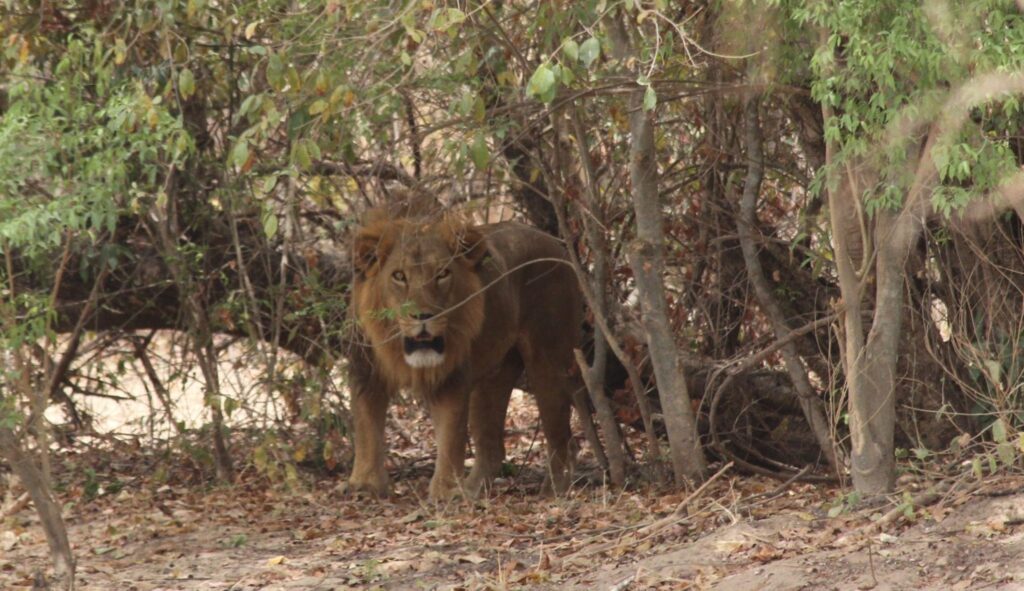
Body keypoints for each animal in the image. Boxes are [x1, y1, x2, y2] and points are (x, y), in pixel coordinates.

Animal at [346, 208, 581, 497]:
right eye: (399, 276)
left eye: (442, 274)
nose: (423, 316)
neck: (398, 351)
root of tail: (557, 245)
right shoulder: (365, 372)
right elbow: (366, 428)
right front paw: (364, 485)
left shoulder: (452, 379)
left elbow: (450, 436)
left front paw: (445, 491)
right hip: (493, 377)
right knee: (492, 449)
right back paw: (471, 492)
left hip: (548, 359)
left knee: (561, 438)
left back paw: (553, 490)